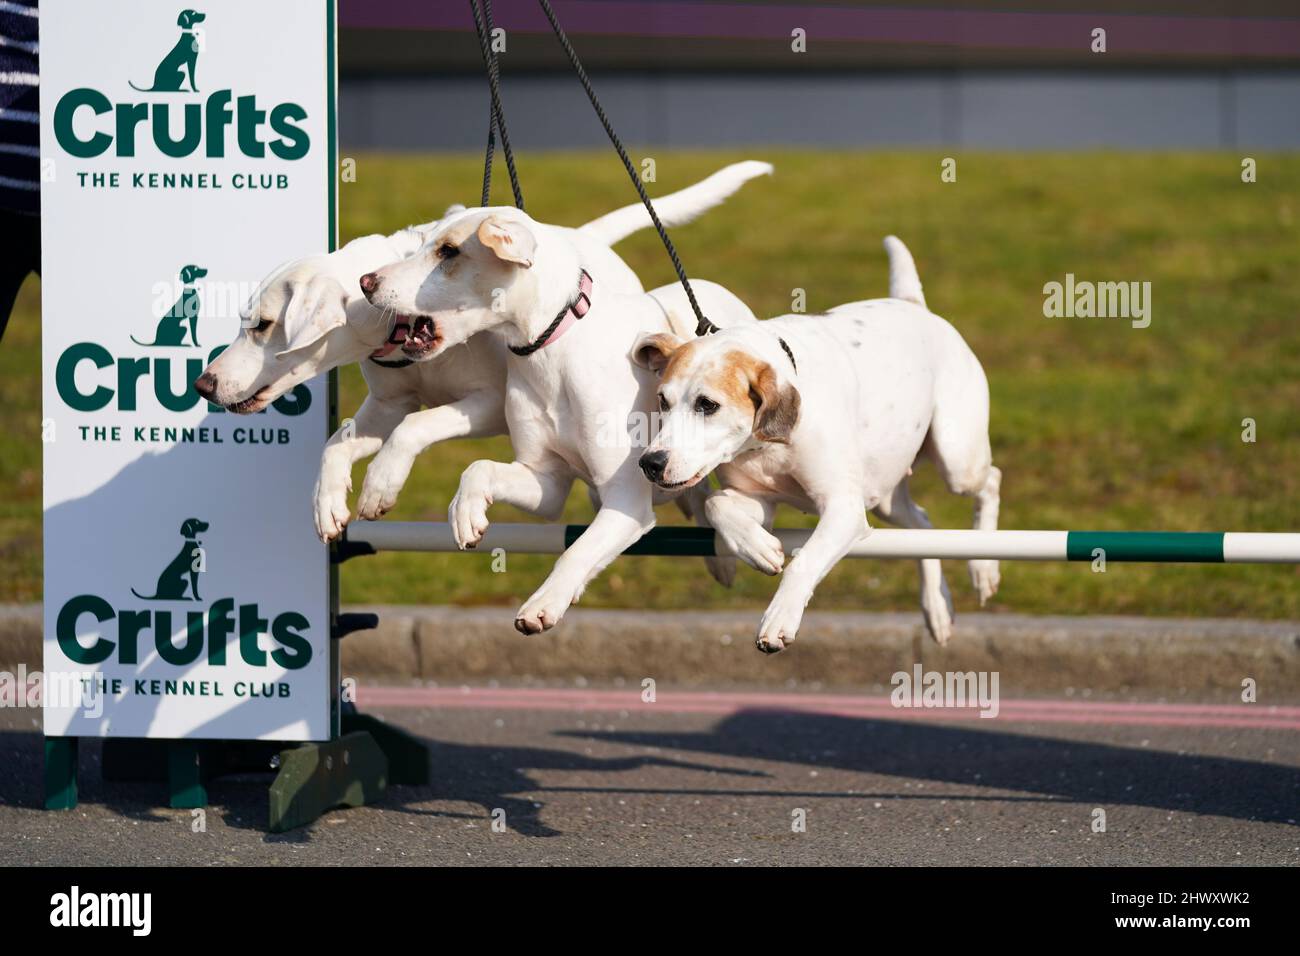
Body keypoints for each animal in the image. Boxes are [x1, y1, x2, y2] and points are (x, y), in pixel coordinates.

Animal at [191, 160, 769, 541]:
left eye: (263, 326)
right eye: (245, 322)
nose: (204, 384)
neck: (400, 335)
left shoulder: (486, 405)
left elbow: (416, 427)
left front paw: (379, 485)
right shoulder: (386, 403)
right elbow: (339, 443)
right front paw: (328, 505)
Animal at [361, 165, 769, 634]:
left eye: (448, 252)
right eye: (424, 243)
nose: (366, 282)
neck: (550, 352)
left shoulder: (625, 502)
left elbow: (577, 551)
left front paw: (544, 603)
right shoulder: (546, 481)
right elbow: (479, 468)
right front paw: (466, 514)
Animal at [629, 238, 1003, 650]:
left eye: (707, 405)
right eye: (662, 400)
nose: (651, 463)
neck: (765, 445)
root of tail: (913, 304)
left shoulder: (844, 510)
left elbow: (805, 559)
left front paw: (779, 619)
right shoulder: (759, 500)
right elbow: (716, 504)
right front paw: (756, 548)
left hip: (957, 459)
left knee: (990, 480)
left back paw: (983, 568)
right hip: (884, 494)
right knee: (923, 523)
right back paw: (937, 606)